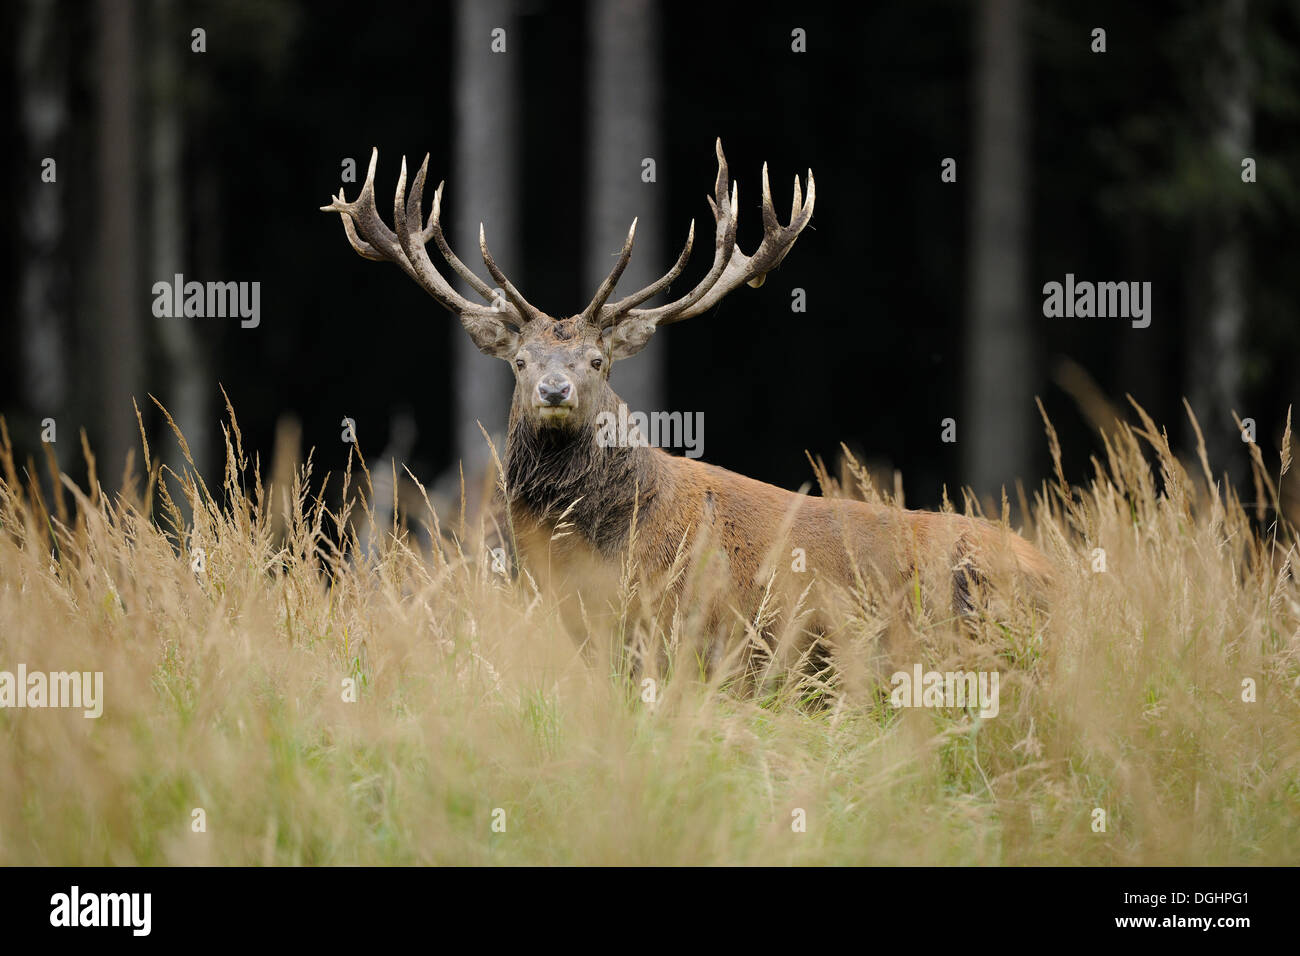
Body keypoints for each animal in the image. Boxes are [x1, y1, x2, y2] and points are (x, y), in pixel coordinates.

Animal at [322, 140, 1055, 686]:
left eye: (597, 361)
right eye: (521, 361)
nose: (554, 391)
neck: (590, 545)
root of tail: (1058, 576)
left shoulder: (678, 630)